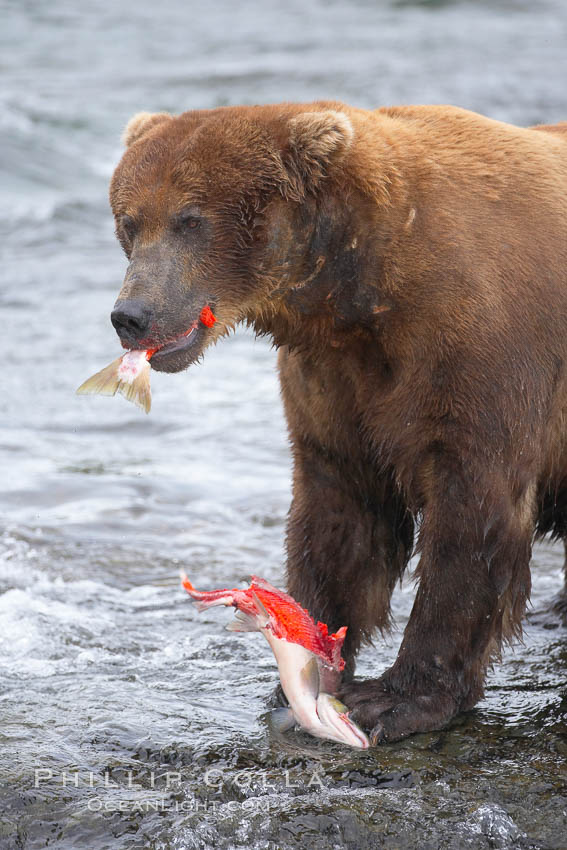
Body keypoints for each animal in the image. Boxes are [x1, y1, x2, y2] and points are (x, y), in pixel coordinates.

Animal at [108, 102, 567, 744]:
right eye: (129, 221)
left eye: (189, 219)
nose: (132, 315)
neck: (361, 297)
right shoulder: (335, 382)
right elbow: (339, 517)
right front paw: (302, 670)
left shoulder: (482, 356)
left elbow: (472, 522)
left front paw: (399, 698)